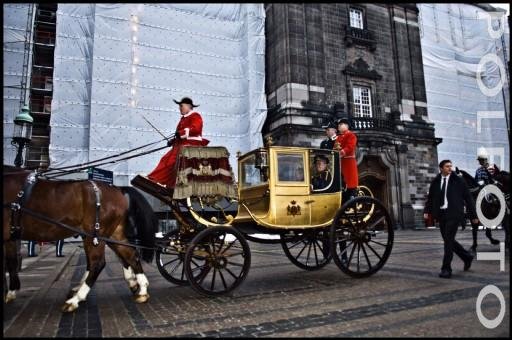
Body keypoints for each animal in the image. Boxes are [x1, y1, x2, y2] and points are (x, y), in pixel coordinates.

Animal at [3, 166, 158, 312]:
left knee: (98, 263)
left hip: (96, 234)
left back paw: (76, 299)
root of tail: (117, 189)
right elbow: (11, 262)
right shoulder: (9, 237)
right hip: (110, 234)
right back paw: (142, 290)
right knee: (129, 255)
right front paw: (10, 292)